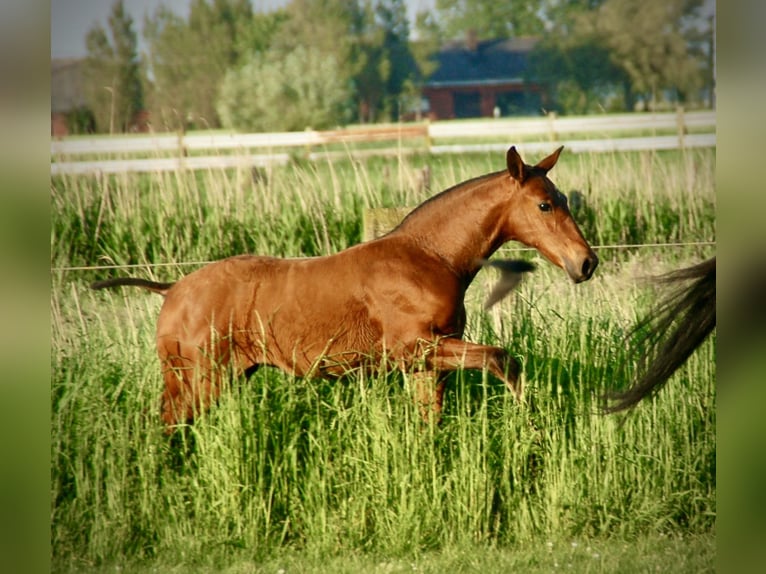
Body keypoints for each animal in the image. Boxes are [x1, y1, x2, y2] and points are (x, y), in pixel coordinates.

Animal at [93, 147, 600, 432]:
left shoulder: (426, 364)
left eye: (564, 199)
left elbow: (430, 425)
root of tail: (171, 289)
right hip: (200, 382)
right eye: (544, 204)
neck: (429, 259)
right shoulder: (416, 349)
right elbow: (503, 358)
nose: (586, 262)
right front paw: (529, 420)